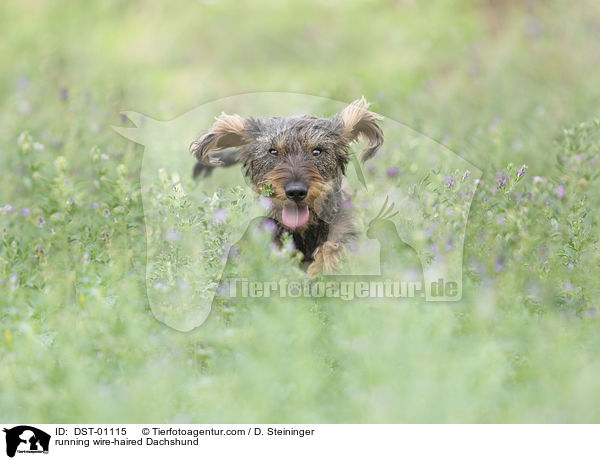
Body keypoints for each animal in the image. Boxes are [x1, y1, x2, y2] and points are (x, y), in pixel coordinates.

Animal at [190, 97, 382, 276]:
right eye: (273, 151)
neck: (303, 233)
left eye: (317, 151)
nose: (296, 192)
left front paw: (322, 268)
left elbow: (334, 247)